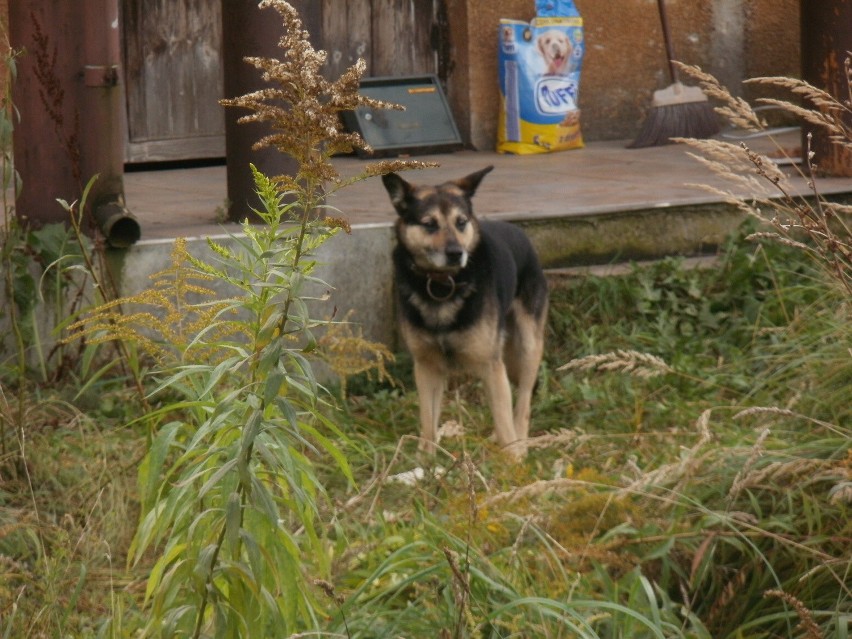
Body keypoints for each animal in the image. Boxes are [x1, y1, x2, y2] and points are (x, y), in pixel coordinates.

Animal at [382, 166, 548, 460]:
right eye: (429, 224)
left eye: (461, 222)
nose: (456, 253)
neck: (441, 285)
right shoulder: (427, 367)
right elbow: (428, 423)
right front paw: (425, 462)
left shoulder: (491, 366)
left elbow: (505, 421)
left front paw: (513, 464)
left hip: (528, 346)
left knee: (523, 403)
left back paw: (521, 445)